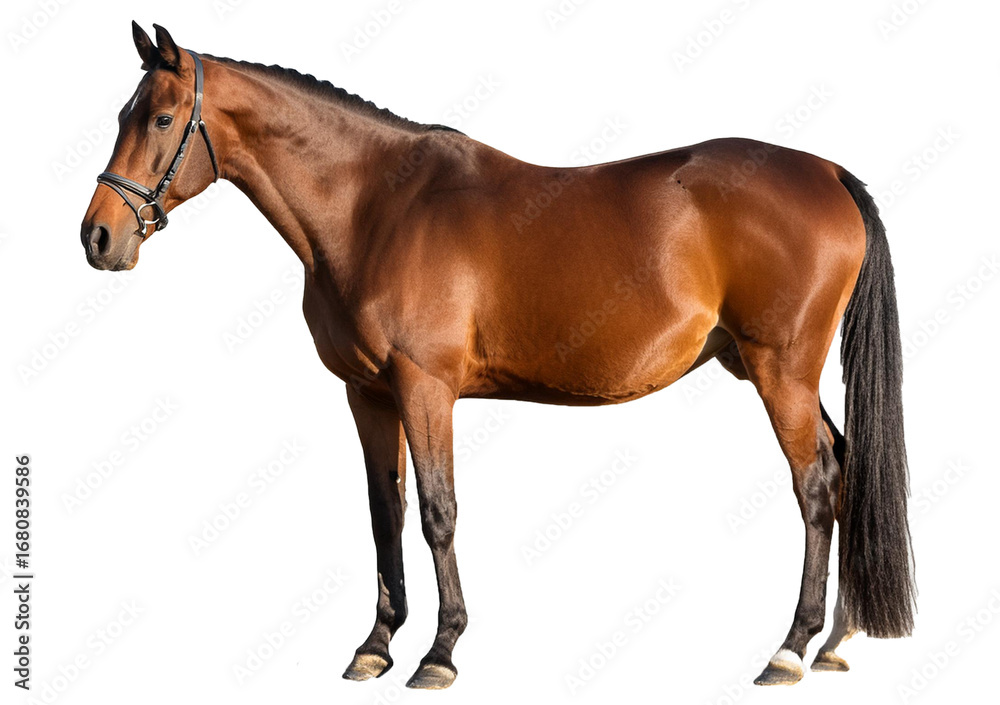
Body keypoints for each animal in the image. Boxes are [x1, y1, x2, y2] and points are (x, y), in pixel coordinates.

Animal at [80, 23, 915, 689]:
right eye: (123, 114)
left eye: (160, 117)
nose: (98, 237)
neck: (374, 206)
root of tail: (828, 173)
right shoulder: (367, 393)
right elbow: (385, 511)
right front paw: (375, 645)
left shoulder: (425, 387)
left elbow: (438, 512)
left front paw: (439, 652)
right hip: (768, 369)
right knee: (846, 469)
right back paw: (834, 639)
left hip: (781, 371)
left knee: (815, 485)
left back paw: (789, 647)